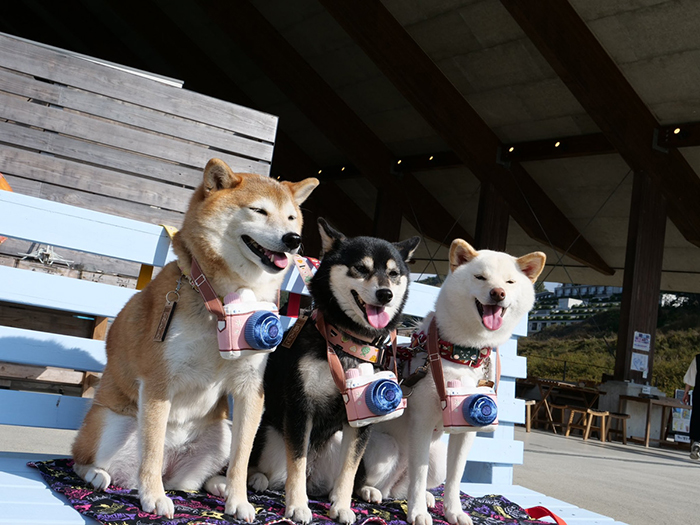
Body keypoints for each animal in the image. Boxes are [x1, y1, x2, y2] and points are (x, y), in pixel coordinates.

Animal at [72, 159, 318, 520]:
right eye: (259, 210)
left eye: (290, 217)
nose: (293, 239)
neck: (226, 301)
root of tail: (171, 472)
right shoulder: (158, 382)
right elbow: (151, 451)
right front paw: (152, 497)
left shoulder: (249, 389)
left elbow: (242, 460)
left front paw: (238, 499)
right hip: (109, 423)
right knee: (86, 458)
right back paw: (97, 475)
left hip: (222, 432)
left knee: (195, 480)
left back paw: (217, 485)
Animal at [247, 219, 418, 520]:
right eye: (360, 268)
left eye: (394, 274)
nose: (385, 294)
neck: (346, 341)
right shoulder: (300, 406)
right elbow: (296, 464)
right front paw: (297, 506)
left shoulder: (360, 420)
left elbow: (349, 471)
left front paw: (342, 506)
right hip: (271, 437)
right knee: (274, 469)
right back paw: (258, 478)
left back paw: (366, 490)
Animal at [364, 238, 544, 524]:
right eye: (480, 277)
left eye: (510, 282)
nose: (498, 293)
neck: (462, 353)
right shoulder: (422, 421)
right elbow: (418, 476)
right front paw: (417, 512)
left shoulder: (466, 429)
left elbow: (455, 477)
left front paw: (453, 512)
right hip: (386, 448)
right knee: (366, 480)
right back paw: (371, 492)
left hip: (436, 457)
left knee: (403, 488)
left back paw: (424, 497)